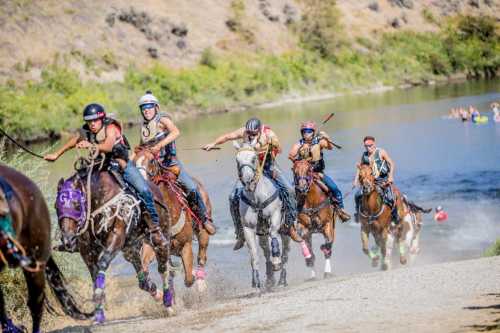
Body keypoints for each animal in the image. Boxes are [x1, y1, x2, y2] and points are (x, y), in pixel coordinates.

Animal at [55, 158, 174, 322]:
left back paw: (168, 302)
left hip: (160, 233)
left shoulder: (115, 238)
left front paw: (99, 306)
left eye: (77, 205)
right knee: (143, 280)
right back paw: (158, 295)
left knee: (164, 265)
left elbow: (102, 264)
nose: (68, 239)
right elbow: (94, 274)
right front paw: (99, 309)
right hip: (131, 249)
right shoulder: (87, 251)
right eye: (56, 207)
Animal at [132, 147, 212, 290]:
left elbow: (189, 279)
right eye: (133, 163)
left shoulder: (186, 245)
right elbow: (144, 265)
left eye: (151, 160)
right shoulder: (151, 245)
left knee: (202, 256)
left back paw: (201, 283)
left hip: (203, 232)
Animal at [234, 141, 296, 290]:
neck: (257, 198)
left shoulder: (275, 215)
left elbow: (273, 234)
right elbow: (254, 254)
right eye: (237, 160)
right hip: (261, 234)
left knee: (285, 253)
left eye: (253, 158)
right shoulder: (248, 228)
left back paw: (282, 279)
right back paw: (269, 279)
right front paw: (256, 281)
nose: (248, 181)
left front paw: (276, 261)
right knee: (266, 252)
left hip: (286, 232)